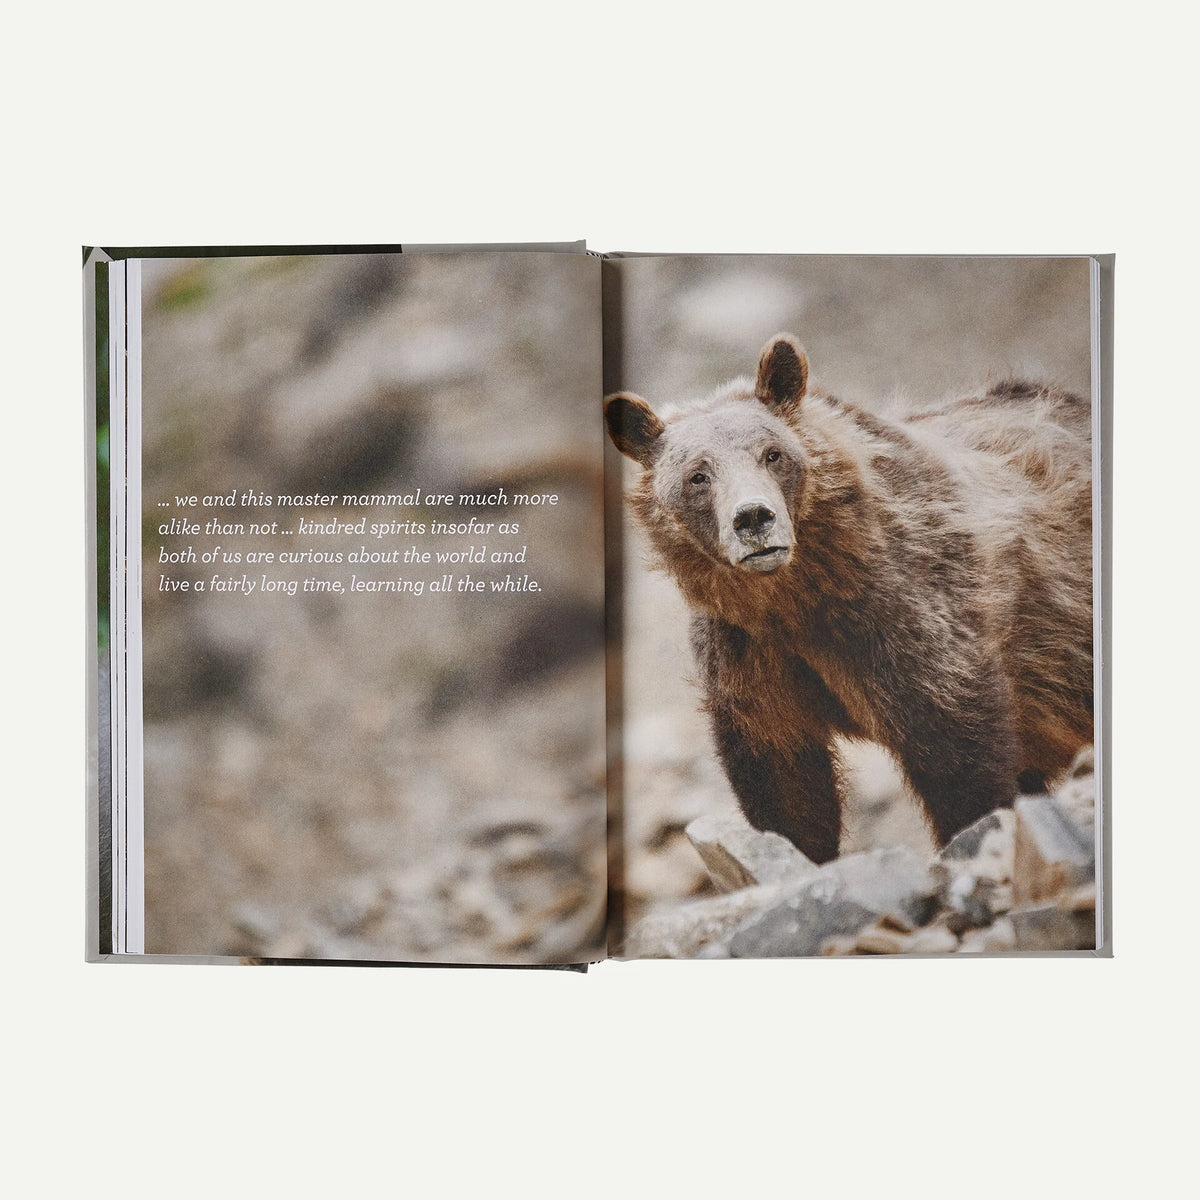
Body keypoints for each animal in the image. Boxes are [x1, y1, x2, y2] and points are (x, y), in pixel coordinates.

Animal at [606, 334, 1093, 864]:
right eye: (698, 475)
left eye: (772, 454)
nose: (753, 517)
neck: (796, 596)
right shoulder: (749, 656)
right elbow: (784, 781)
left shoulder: (909, 617)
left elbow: (959, 755)